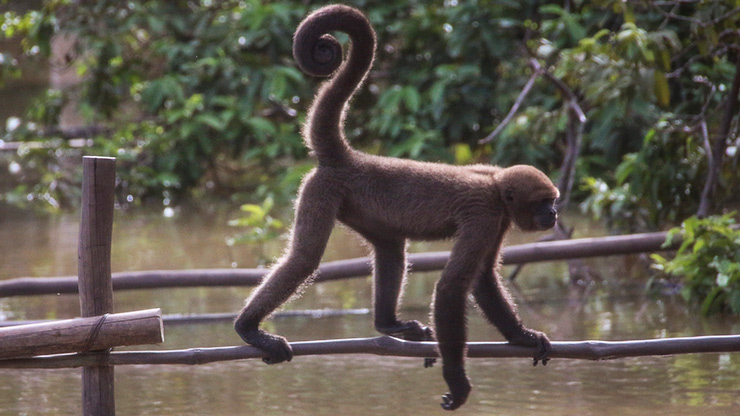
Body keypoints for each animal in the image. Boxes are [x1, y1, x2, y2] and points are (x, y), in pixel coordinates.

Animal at [234, 4, 559, 411]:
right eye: (545, 202)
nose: (554, 214)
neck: (497, 185)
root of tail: (352, 158)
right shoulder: (485, 214)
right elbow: (451, 287)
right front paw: (457, 381)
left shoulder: (497, 220)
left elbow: (483, 277)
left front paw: (521, 336)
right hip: (322, 190)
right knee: (304, 259)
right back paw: (248, 328)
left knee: (391, 248)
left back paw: (387, 326)